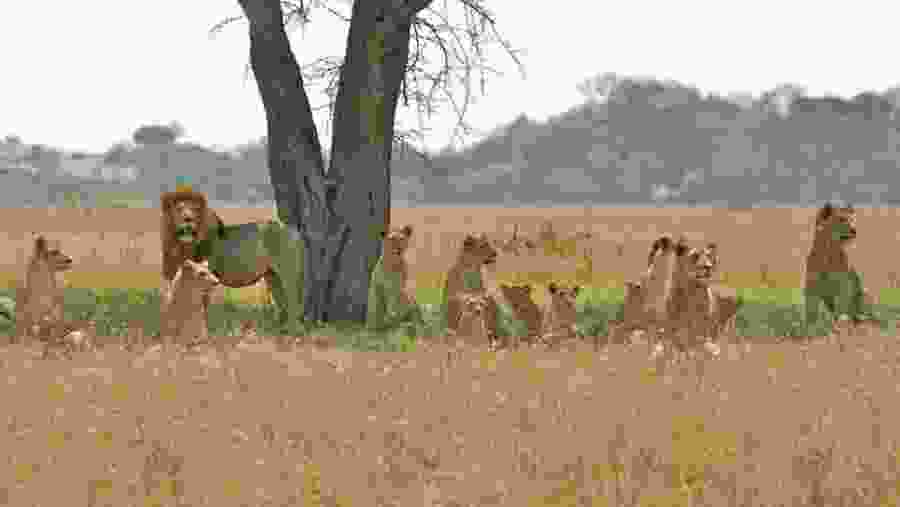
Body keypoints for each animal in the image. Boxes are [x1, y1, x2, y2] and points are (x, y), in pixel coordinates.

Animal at [161, 189, 304, 328]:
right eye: (179, 209)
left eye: (195, 209)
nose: (188, 219)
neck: (183, 245)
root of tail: (292, 229)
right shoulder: (175, 276)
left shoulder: (206, 276)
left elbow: (201, 306)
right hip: (272, 275)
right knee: (281, 301)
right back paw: (281, 329)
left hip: (287, 271)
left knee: (293, 300)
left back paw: (294, 329)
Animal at [804, 202, 874, 333]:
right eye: (841, 219)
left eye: (852, 219)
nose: (854, 230)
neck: (828, 251)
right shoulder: (811, 289)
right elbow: (811, 311)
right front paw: (810, 328)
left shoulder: (843, 285)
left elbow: (841, 307)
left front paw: (840, 325)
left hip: (863, 294)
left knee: (861, 314)